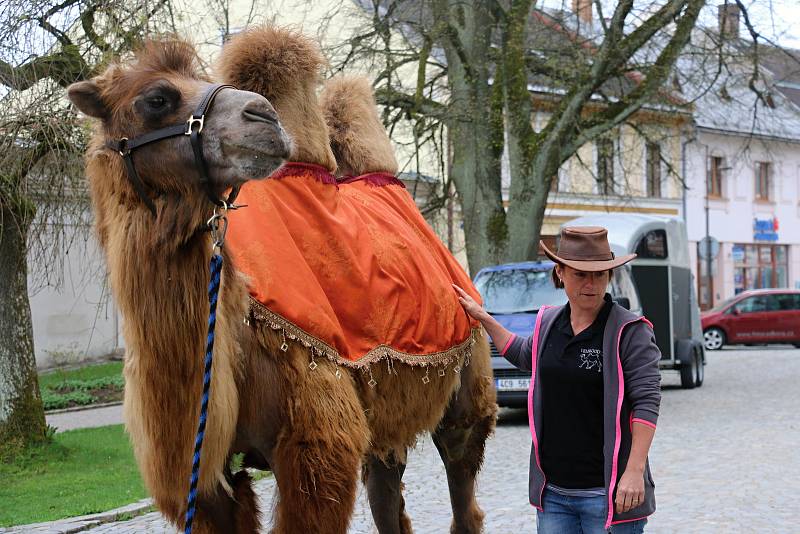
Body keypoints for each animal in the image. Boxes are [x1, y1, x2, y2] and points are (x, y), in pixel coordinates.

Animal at [69, 28, 494, 534]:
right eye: (156, 98)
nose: (264, 116)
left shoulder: (314, 444)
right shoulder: (206, 480)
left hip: (468, 376)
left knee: (461, 475)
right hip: (387, 415)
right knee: (387, 492)